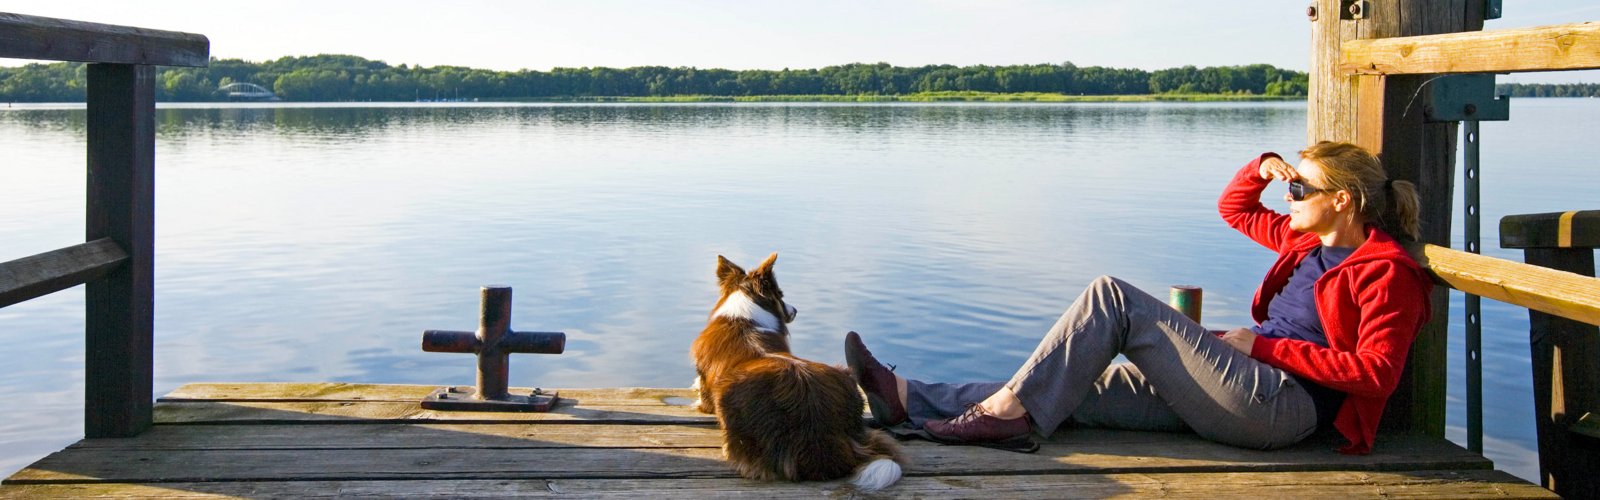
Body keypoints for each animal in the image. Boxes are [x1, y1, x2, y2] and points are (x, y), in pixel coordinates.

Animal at [691, 256, 908, 490]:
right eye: (781, 295)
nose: (795, 310)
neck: (742, 316)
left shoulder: (705, 379)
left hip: (729, 399)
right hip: (847, 378)